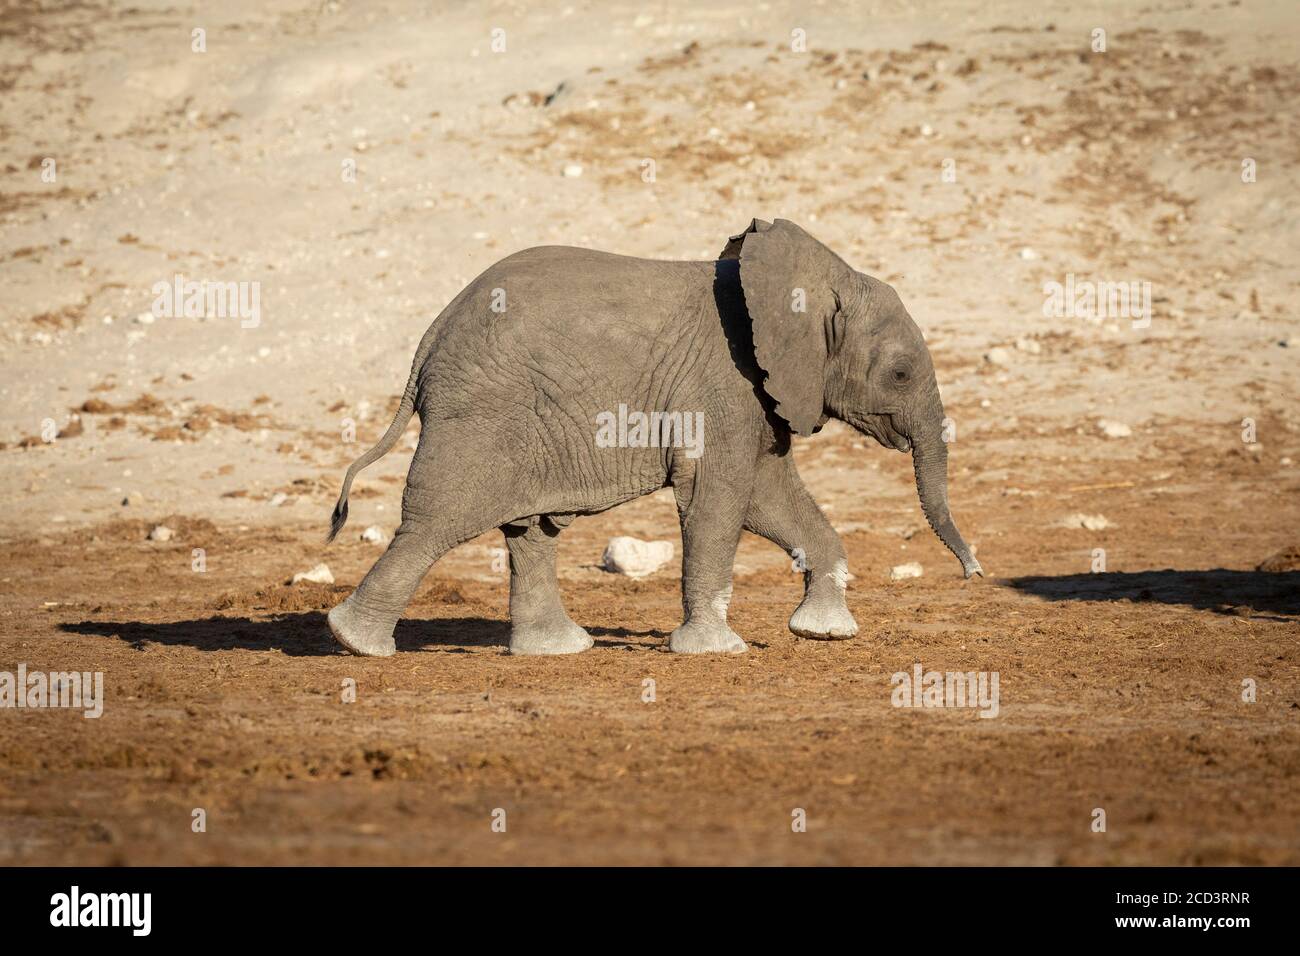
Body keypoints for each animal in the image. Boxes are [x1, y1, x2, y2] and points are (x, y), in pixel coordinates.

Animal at [322, 217, 977, 658]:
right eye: (900, 374)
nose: (973, 572)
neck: (811, 282)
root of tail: (430, 337)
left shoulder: (760, 393)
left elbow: (768, 498)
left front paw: (825, 631)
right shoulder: (722, 383)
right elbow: (717, 499)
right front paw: (716, 651)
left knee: (529, 529)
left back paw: (558, 649)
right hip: (483, 412)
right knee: (438, 519)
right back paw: (354, 642)